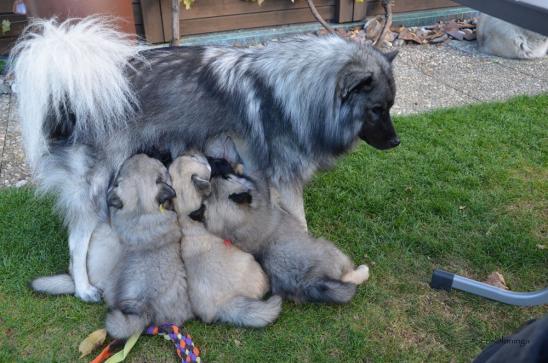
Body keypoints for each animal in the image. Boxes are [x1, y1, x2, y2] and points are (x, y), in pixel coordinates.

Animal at [203, 173, 370, 304]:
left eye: (226, 177)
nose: (214, 174)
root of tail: (308, 283)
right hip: (331, 250)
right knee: (348, 276)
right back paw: (363, 271)